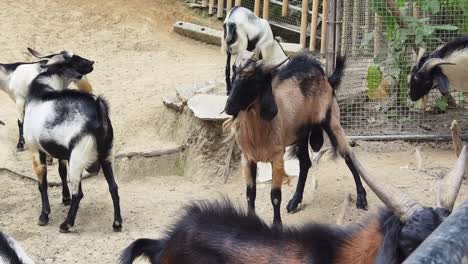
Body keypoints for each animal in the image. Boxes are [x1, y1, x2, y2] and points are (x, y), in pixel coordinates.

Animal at [23, 50, 121, 232]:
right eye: (72, 59)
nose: (91, 62)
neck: (41, 92)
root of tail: (99, 110)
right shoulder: (63, 155)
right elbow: (61, 173)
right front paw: (64, 198)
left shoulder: (35, 149)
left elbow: (42, 184)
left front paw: (44, 216)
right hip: (107, 154)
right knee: (113, 187)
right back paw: (117, 223)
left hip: (78, 157)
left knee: (79, 193)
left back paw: (66, 224)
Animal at [221, 51, 368, 225]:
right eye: (234, 75)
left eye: (254, 80)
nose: (228, 107)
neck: (259, 134)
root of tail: (327, 78)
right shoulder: (247, 158)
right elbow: (250, 194)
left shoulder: (277, 157)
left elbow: (275, 196)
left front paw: (277, 224)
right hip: (301, 135)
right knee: (305, 163)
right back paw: (294, 201)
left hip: (332, 122)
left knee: (348, 155)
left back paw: (361, 198)